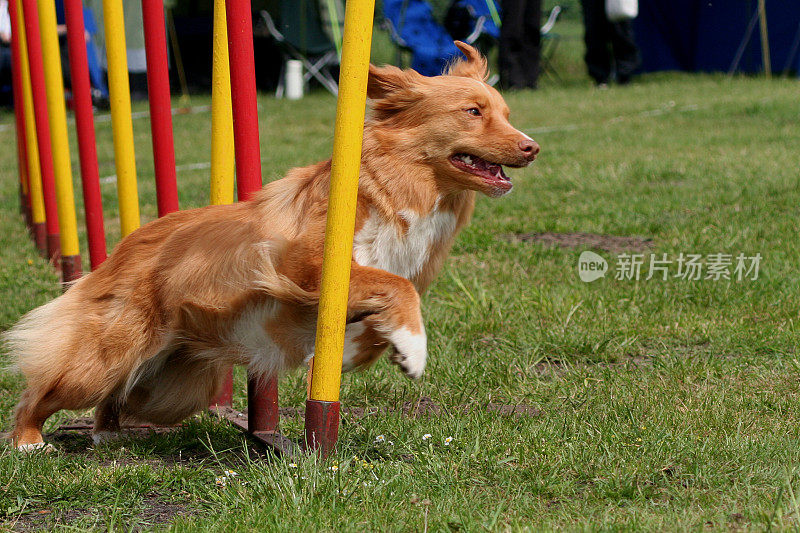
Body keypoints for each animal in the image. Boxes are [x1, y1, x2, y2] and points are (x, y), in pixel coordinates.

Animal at [4, 41, 536, 448]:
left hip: (173, 388)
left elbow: (383, 311)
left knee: (119, 394)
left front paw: (357, 354)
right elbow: (396, 287)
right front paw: (414, 348)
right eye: (472, 112)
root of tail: (121, 251)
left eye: (507, 114)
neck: (396, 189)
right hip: (102, 358)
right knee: (44, 390)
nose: (531, 147)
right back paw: (29, 440)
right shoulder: (303, 264)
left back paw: (107, 431)